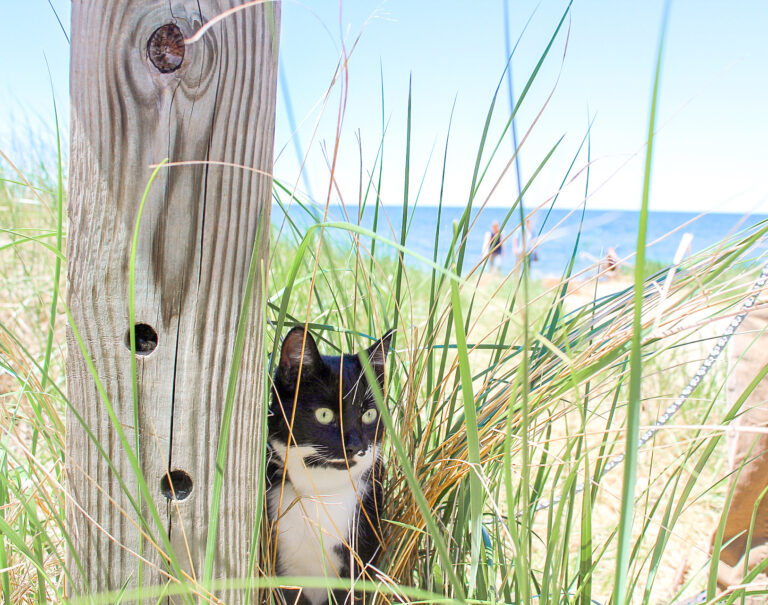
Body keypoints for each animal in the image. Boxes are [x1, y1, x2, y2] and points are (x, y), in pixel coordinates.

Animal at [266, 326, 396, 604]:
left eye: (369, 414)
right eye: (324, 415)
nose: (355, 445)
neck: (322, 492)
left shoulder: (361, 559)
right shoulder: (282, 571)